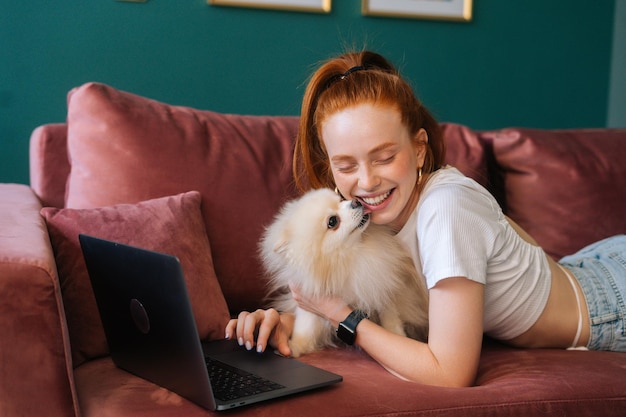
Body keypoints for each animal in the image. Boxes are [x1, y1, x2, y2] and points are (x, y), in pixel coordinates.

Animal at [260, 187, 428, 356]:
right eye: (332, 221)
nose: (355, 202)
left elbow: (390, 318)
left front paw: (397, 334)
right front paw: (296, 346)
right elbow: (305, 326)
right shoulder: (310, 298)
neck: (349, 257)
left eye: (340, 199)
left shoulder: (380, 288)